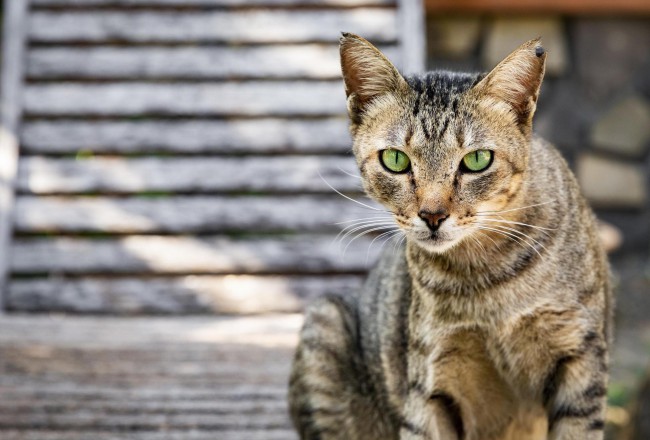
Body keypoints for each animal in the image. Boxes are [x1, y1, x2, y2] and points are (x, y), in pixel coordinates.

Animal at [286, 32, 612, 438]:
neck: (487, 280)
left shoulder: (580, 359)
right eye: (395, 159)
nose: (432, 215)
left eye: (477, 160)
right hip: (325, 323)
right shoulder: (430, 380)